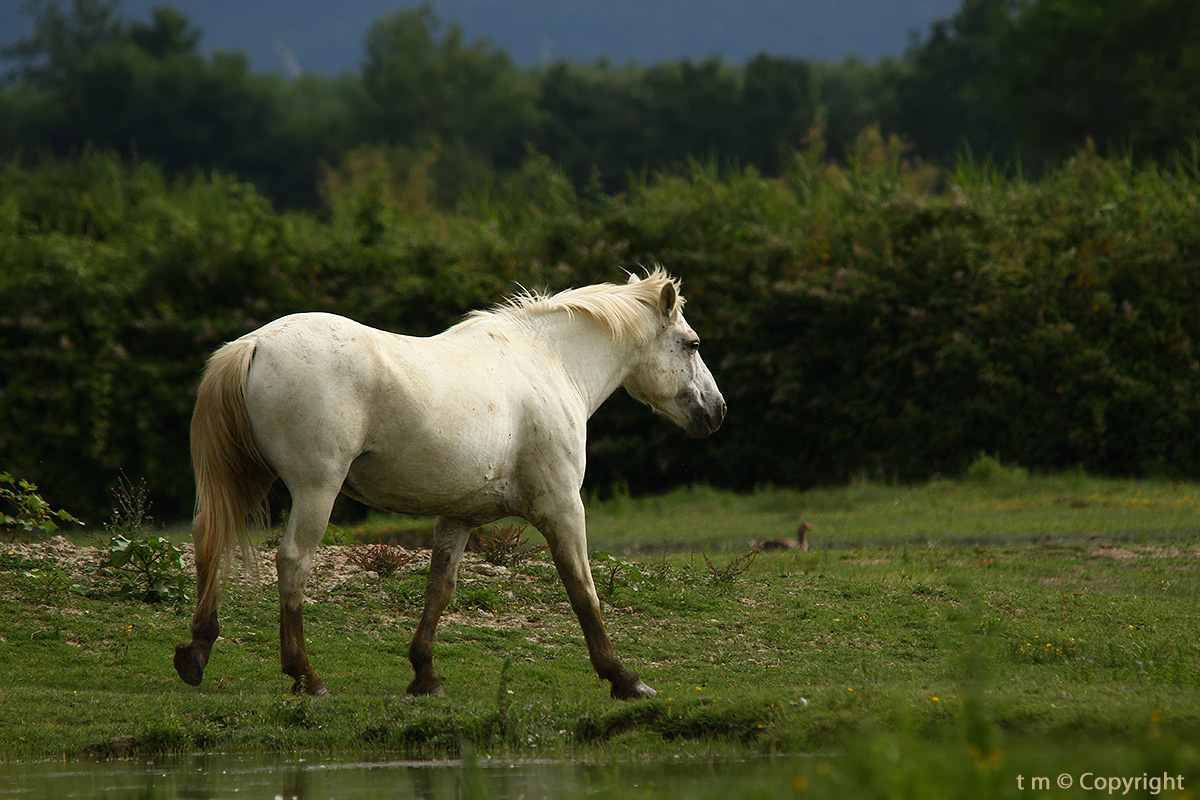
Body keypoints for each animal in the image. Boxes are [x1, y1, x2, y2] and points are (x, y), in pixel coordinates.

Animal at [174, 269, 725, 700]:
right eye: (692, 344)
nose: (716, 411)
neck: (547, 363)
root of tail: (255, 344)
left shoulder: (459, 516)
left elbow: (439, 590)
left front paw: (425, 676)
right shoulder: (563, 507)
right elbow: (583, 591)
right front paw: (624, 679)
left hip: (244, 480)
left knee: (210, 541)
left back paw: (196, 653)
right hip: (315, 490)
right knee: (292, 563)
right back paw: (305, 675)